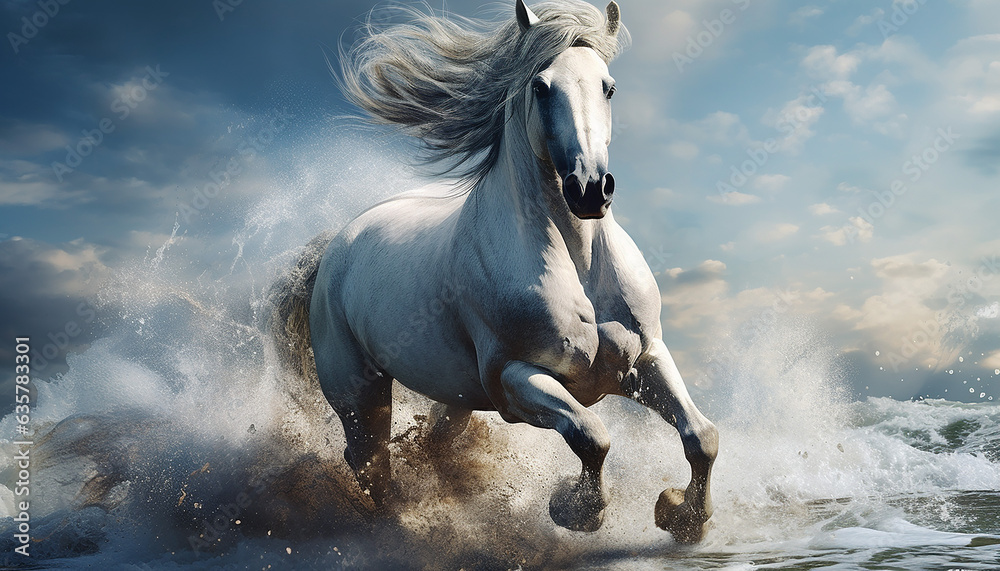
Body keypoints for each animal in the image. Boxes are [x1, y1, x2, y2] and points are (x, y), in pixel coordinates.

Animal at [270, 0, 718, 543]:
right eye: (541, 87)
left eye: (609, 87)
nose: (590, 189)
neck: (578, 266)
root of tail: (335, 247)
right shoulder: (515, 379)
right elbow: (592, 435)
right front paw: (576, 510)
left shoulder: (645, 358)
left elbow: (702, 436)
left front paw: (681, 515)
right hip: (359, 392)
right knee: (368, 461)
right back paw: (401, 527)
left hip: (453, 396)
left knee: (430, 442)